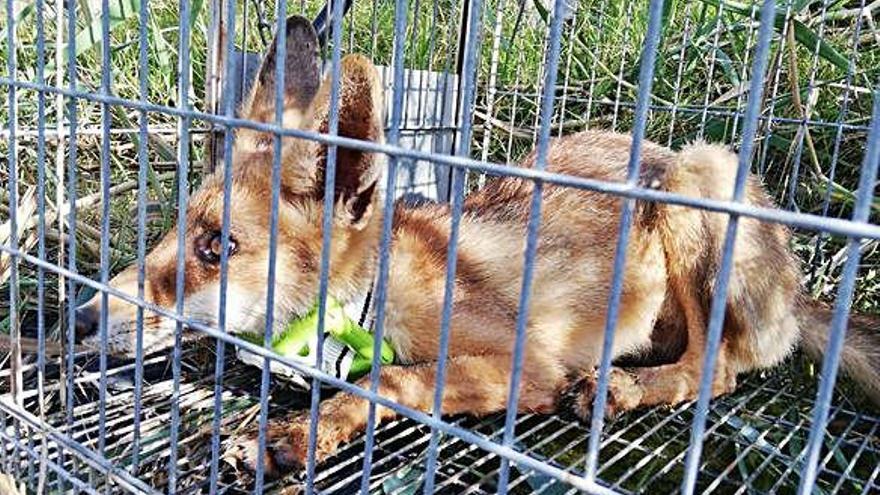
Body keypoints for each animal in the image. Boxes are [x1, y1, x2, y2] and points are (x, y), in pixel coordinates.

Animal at [74, 15, 880, 480]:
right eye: (176, 231)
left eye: (219, 245)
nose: (76, 317)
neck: (370, 300)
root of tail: (803, 296)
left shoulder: (529, 364)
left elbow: (391, 383)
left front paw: (301, 433)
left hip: (696, 180)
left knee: (722, 371)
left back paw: (623, 389)